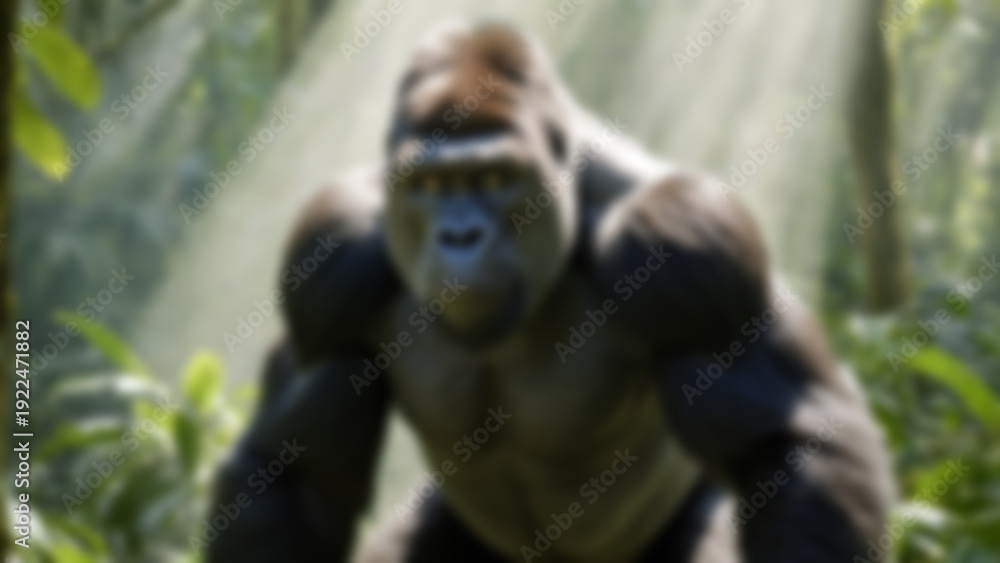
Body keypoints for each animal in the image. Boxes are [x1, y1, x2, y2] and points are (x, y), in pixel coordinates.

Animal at [207, 21, 893, 563]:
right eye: (430, 185)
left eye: (494, 178)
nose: (460, 235)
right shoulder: (328, 257)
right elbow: (290, 471)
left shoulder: (688, 245)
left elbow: (785, 443)